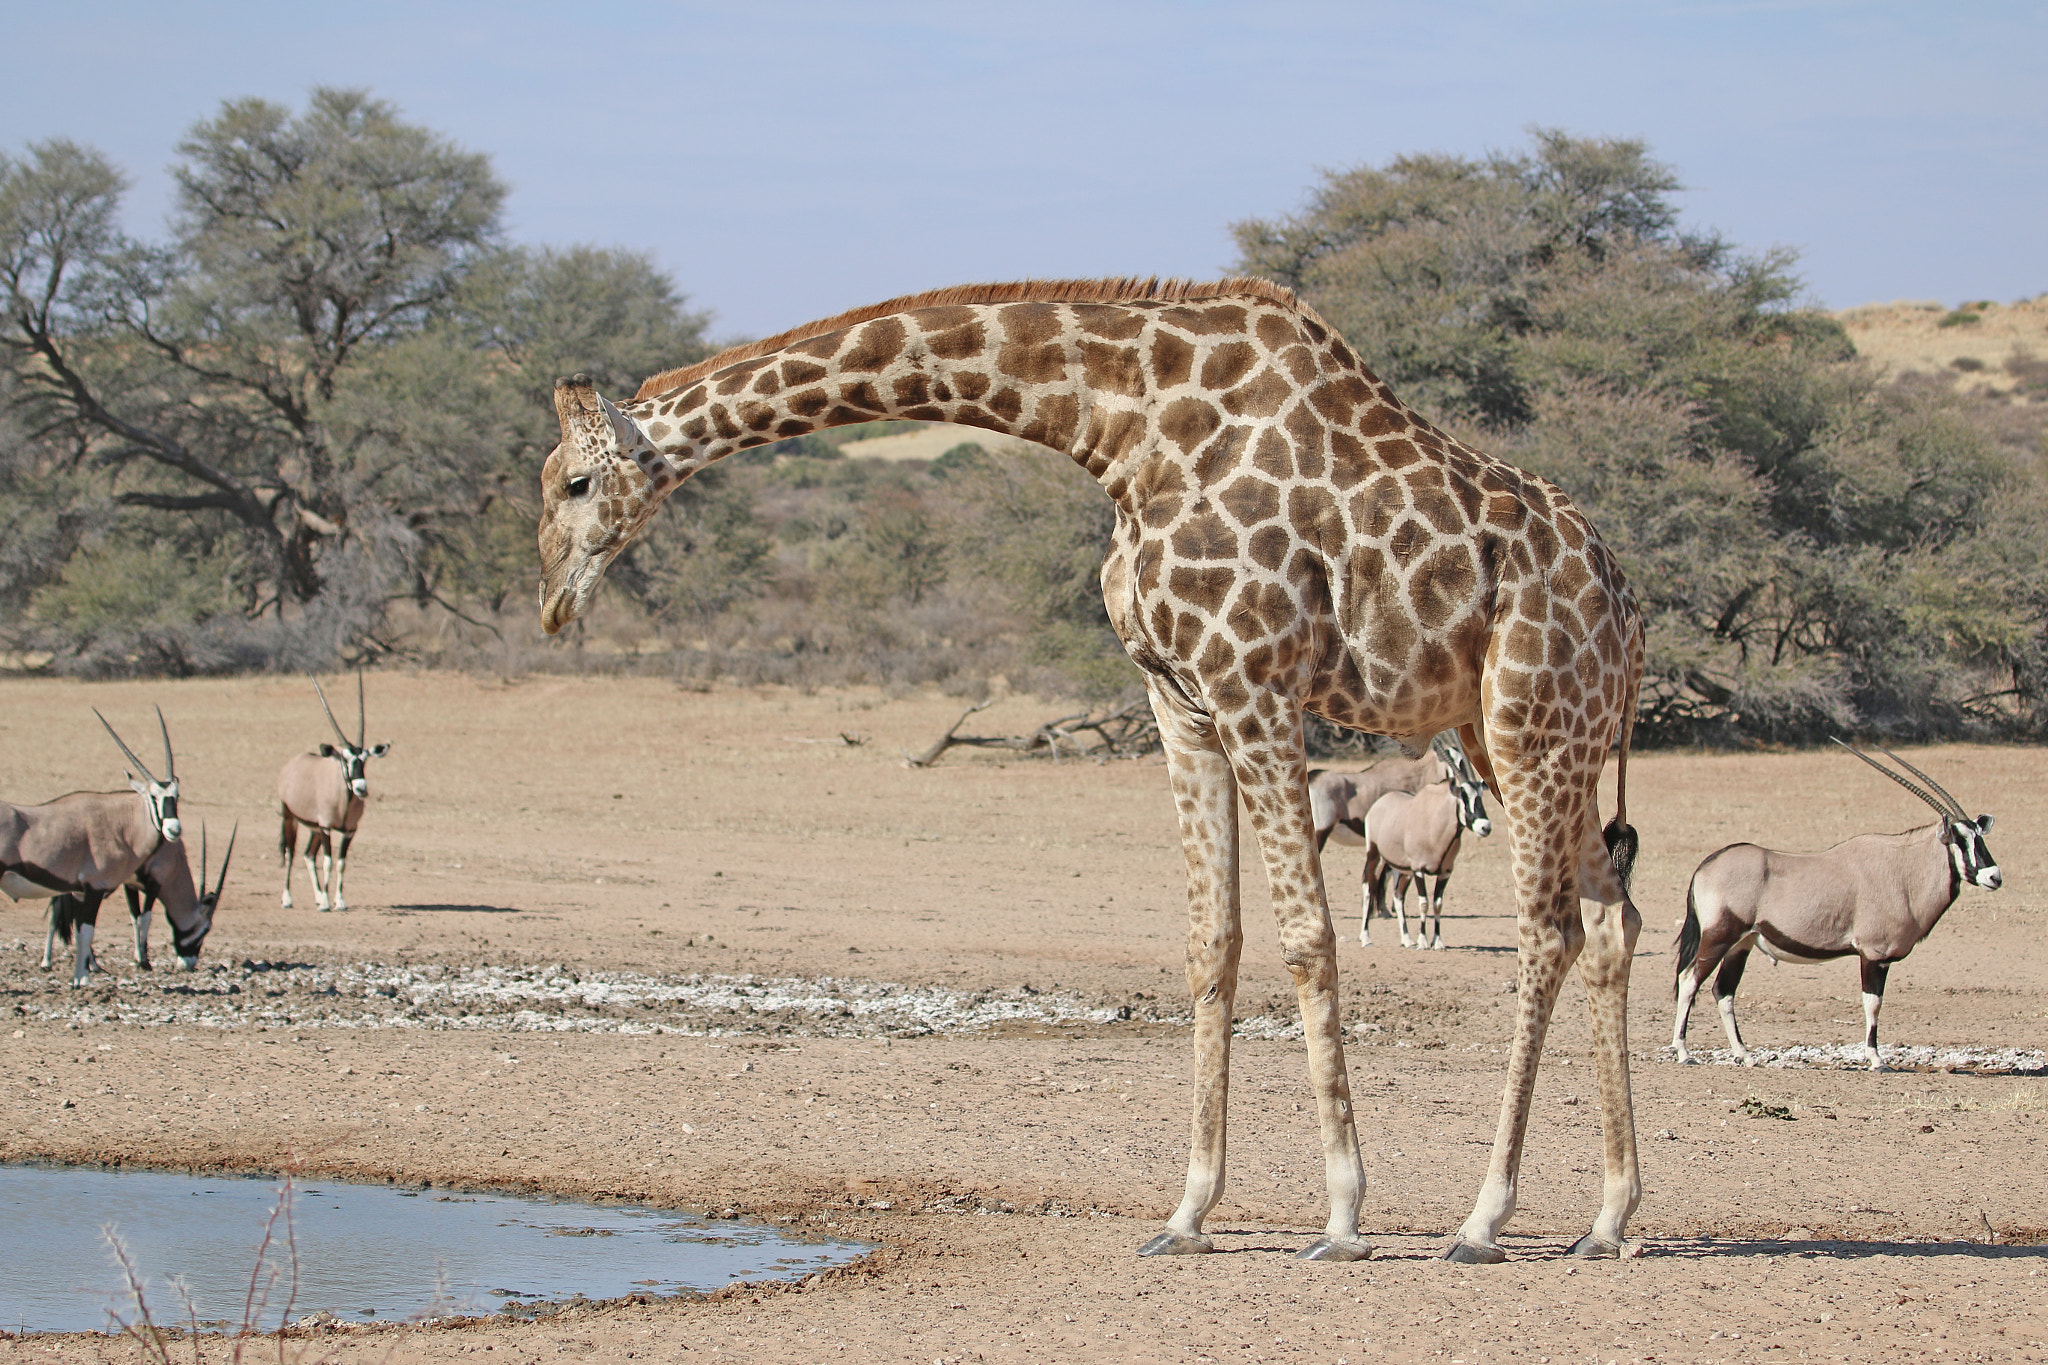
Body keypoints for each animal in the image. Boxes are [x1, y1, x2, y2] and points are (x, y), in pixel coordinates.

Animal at [536, 277, 1646, 1263]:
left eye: (574, 483)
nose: (550, 602)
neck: (1121, 430)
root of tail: (1625, 604)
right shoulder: (1178, 699)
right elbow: (1211, 940)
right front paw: (1187, 1213)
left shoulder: (1255, 682)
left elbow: (1305, 937)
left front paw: (1339, 1216)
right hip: (1527, 732)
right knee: (1611, 920)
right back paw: (1607, 1218)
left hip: (1528, 721)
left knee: (1545, 931)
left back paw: (1483, 1220)